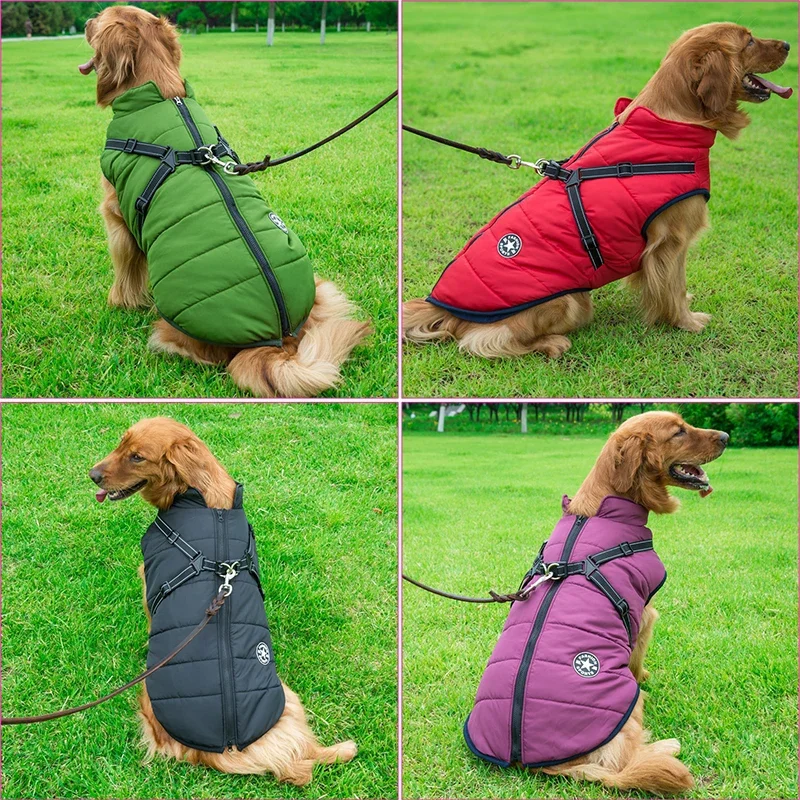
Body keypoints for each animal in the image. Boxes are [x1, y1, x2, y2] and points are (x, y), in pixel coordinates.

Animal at [81, 3, 368, 396]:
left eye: (99, 19)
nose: (84, 21)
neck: (161, 92)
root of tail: (279, 340)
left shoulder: (117, 217)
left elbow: (125, 271)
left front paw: (119, 303)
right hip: (322, 289)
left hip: (175, 327)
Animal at [86, 418, 356, 780]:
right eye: (120, 444)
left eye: (137, 457)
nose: (92, 475)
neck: (205, 501)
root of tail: (228, 749)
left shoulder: (147, 578)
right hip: (289, 701)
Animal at [406, 21, 792, 356]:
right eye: (750, 41)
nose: (789, 44)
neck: (669, 123)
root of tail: (442, 307)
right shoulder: (671, 240)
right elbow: (674, 286)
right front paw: (686, 322)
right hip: (571, 301)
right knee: (484, 340)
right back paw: (551, 344)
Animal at [536, 412, 732, 792]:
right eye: (678, 432)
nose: (727, 436)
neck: (604, 507)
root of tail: (550, 765)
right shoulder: (645, 615)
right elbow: (637, 665)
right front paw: (645, 676)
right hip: (627, 710)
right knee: (622, 763)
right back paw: (666, 746)